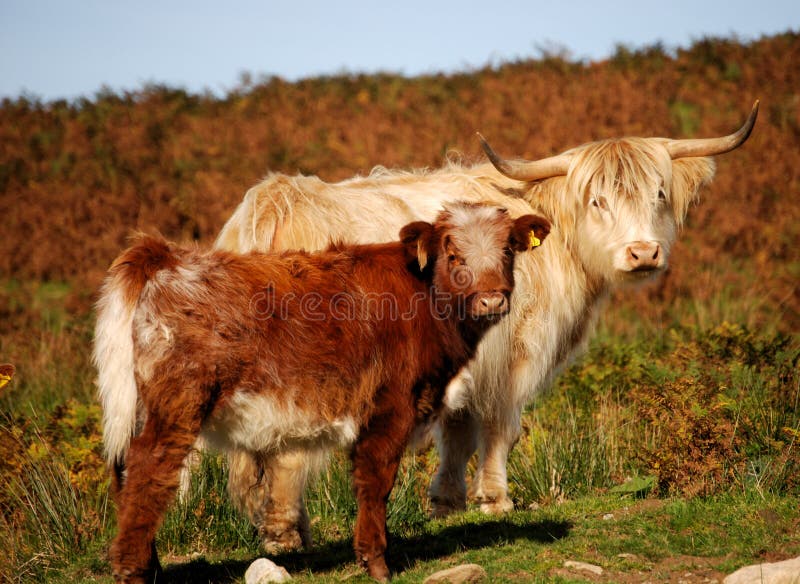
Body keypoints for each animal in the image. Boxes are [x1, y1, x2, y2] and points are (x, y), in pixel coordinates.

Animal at [94, 203, 552, 580]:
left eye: (507, 251)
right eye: (454, 256)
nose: (491, 300)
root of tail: (165, 257)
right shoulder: (390, 408)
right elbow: (376, 482)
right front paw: (376, 561)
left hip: (140, 409)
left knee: (125, 474)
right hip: (176, 408)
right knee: (149, 474)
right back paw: (134, 571)